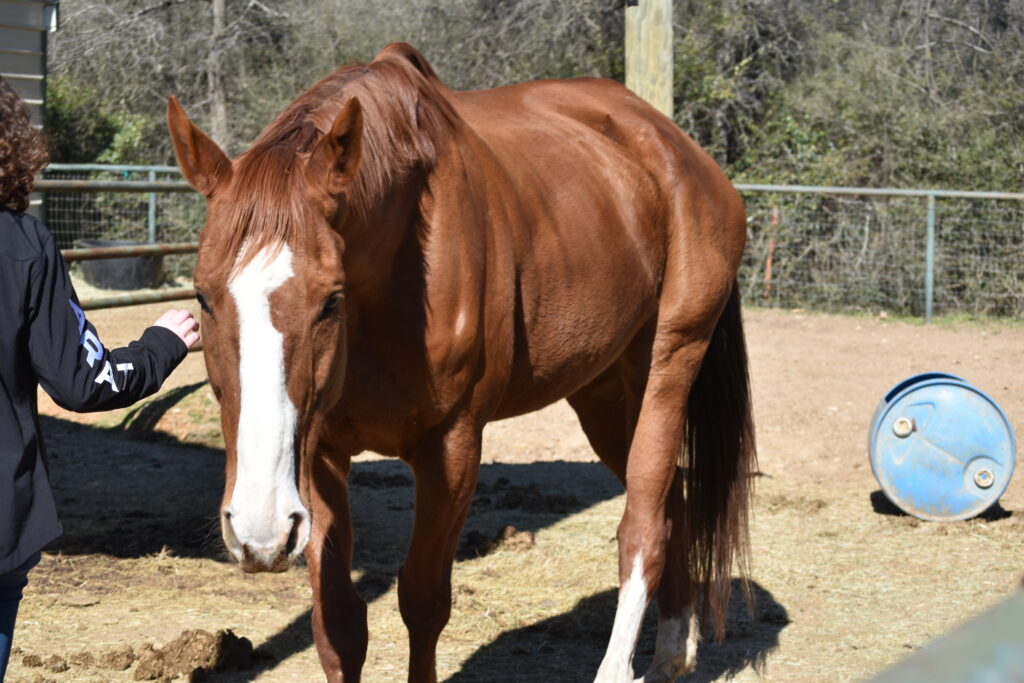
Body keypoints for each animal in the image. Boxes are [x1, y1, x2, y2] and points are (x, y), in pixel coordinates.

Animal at [167, 42, 755, 683]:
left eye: (330, 300)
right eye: (203, 296)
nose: (260, 531)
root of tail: (679, 150)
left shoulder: (450, 449)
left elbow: (423, 601)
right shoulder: (320, 453)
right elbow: (339, 622)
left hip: (668, 362)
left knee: (643, 526)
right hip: (602, 392)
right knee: (672, 506)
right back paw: (673, 649)